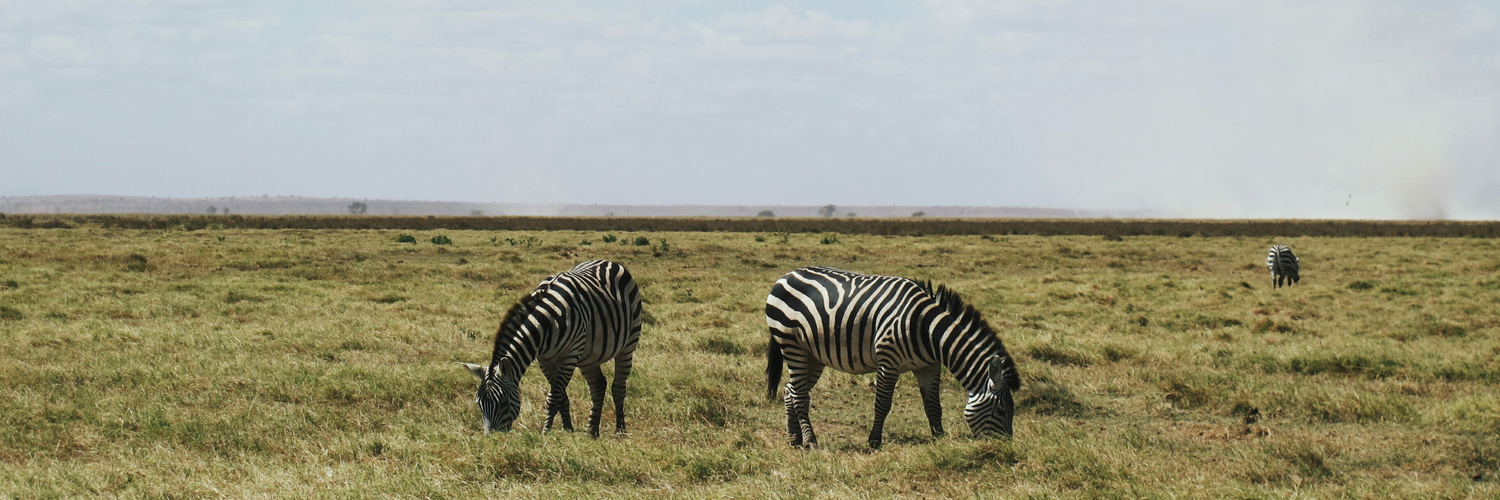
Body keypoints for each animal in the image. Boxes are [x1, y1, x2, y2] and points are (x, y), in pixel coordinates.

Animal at [459, 258, 642, 435]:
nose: (492, 438)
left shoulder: (570, 355)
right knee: (598, 386)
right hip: (588, 357)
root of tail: (607, 261)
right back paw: (592, 432)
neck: (546, 321)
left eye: (504, 402)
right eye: (479, 403)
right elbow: (561, 396)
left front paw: (545, 433)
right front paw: (568, 429)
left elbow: (553, 397)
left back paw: (620, 430)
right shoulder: (544, 360)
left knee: (618, 387)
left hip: (628, 346)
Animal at [768, 264, 1026, 447]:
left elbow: (934, 405)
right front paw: (874, 441)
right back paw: (811, 442)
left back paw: (794, 439)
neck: (928, 331)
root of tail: (787, 275)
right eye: (1002, 410)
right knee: (800, 395)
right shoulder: (888, 361)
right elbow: (882, 404)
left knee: (791, 390)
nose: (1005, 448)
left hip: (813, 355)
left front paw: (939, 438)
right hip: (791, 344)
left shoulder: (929, 367)